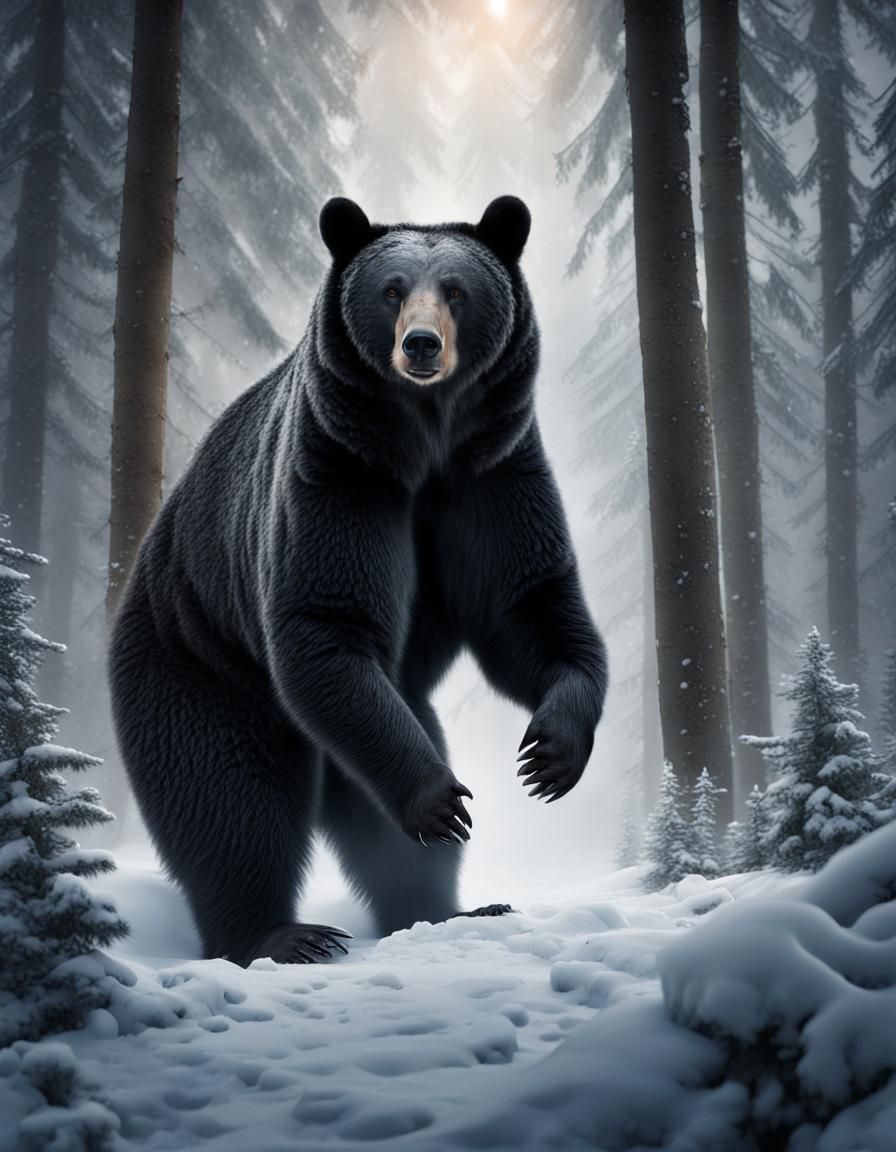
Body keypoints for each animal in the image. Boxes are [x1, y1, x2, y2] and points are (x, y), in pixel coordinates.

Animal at [107, 196, 608, 967]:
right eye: (392, 290)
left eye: (457, 291)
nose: (422, 346)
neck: (424, 443)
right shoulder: (336, 473)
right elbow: (327, 623)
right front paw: (440, 802)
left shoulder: (493, 471)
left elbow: (529, 605)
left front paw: (549, 754)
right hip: (197, 660)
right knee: (228, 802)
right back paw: (282, 934)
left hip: (376, 710)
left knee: (376, 816)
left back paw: (449, 908)